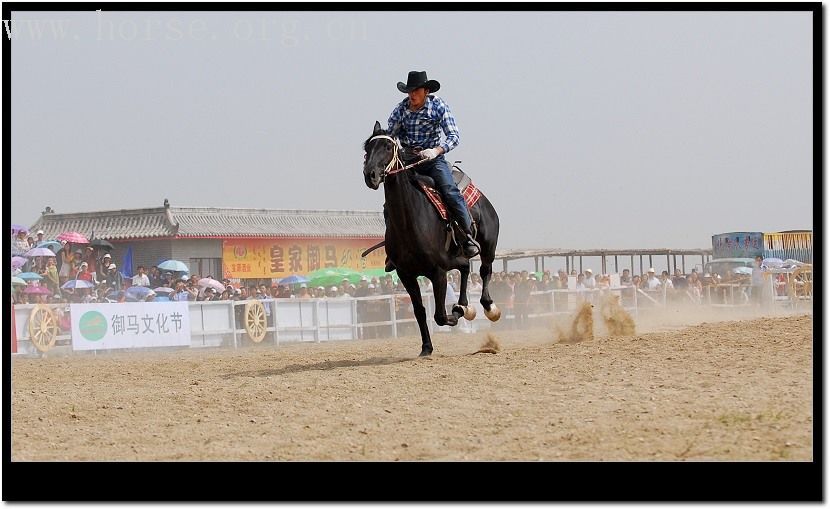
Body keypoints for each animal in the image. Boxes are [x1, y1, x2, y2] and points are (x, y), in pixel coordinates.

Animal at [362, 120, 500, 356]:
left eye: (388, 147)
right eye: (367, 148)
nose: (370, 175)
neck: (409, 223)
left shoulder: (438, 272)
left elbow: (441, 315)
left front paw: (457, 314)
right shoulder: (406, 274)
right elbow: (420, 311)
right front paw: (426, 347)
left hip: (488, 244)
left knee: (484, 270)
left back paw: (488, 307)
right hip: (454, 257)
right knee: (465, 267)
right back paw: (465, 306)